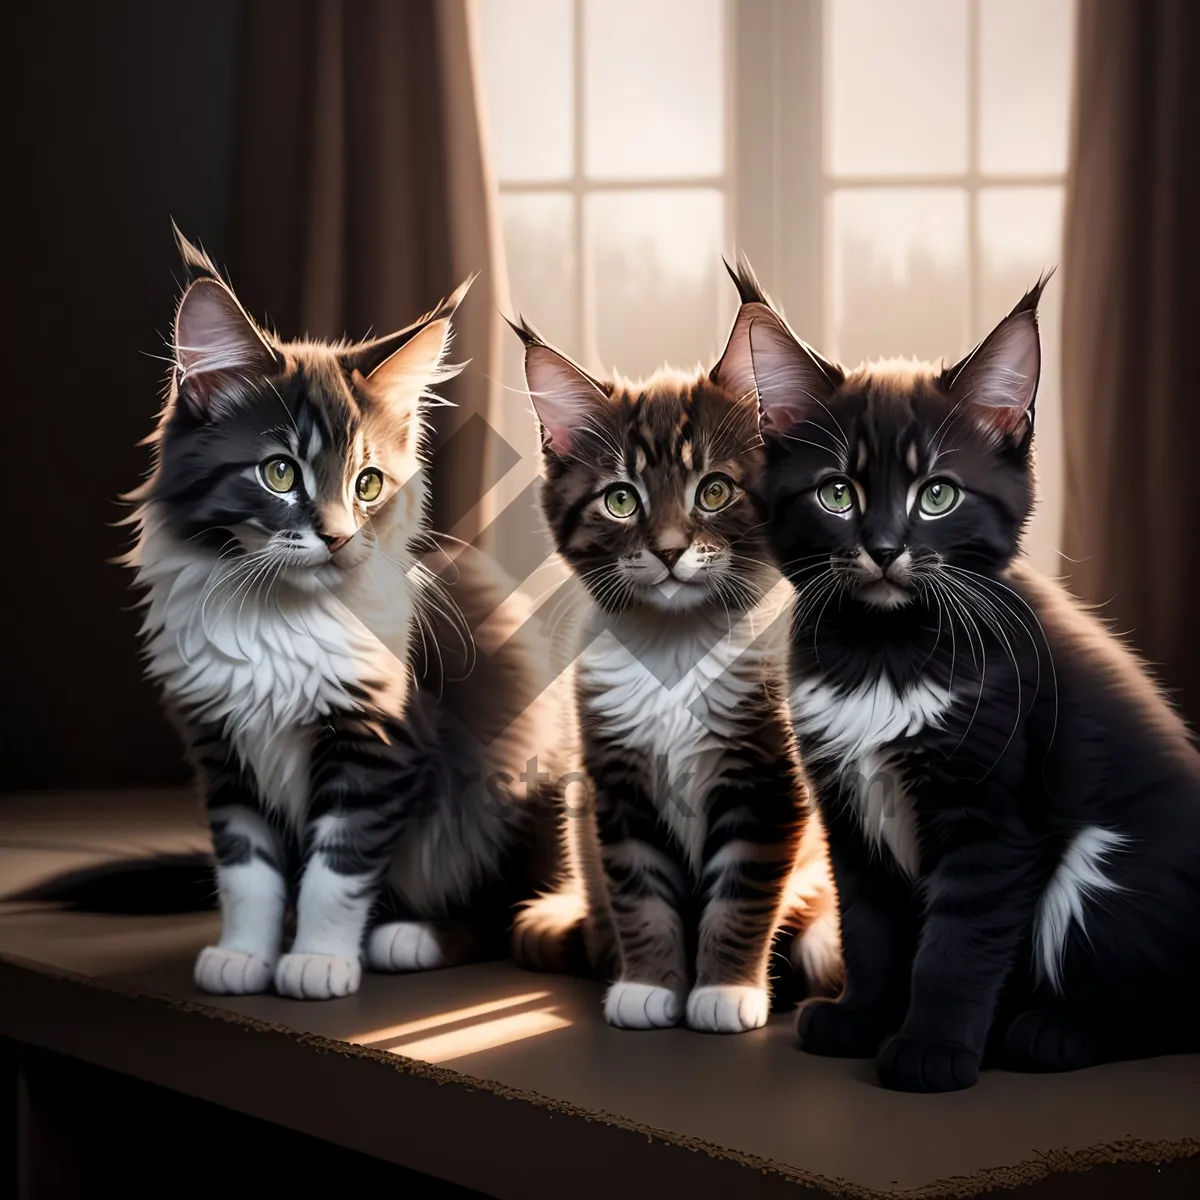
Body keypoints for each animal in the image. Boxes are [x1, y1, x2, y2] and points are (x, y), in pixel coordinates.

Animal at [124, 229, 564, 998]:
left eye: (367, 484)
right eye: (278, 473)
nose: (336, 536)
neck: (277, 618)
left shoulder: (377, 744)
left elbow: (338, 868)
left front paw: (319, 962)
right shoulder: (221, 750)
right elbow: (246, 872)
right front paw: (243, 954)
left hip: (508, 790)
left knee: (505, 903)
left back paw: (410, 937)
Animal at [501, 314, 840, 1027]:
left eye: (714, 490)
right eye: (621, 501)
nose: (668, 551)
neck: (676, 650)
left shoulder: (767, 781)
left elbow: (741, 894)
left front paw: (725, 990)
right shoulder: (618, 784)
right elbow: (640, 892)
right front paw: (650, 985)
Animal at [720, 260, 1200, 1089]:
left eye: (937, 494)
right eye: (837, 493)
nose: (883, 547)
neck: (884, 654)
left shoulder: (993, 816)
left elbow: (958, 944)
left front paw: (931, 1049)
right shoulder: (848, 814)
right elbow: (871, 927)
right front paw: (861, 1017)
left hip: (1108, 868)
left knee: (1163, 1012)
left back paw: (1049, 1034)